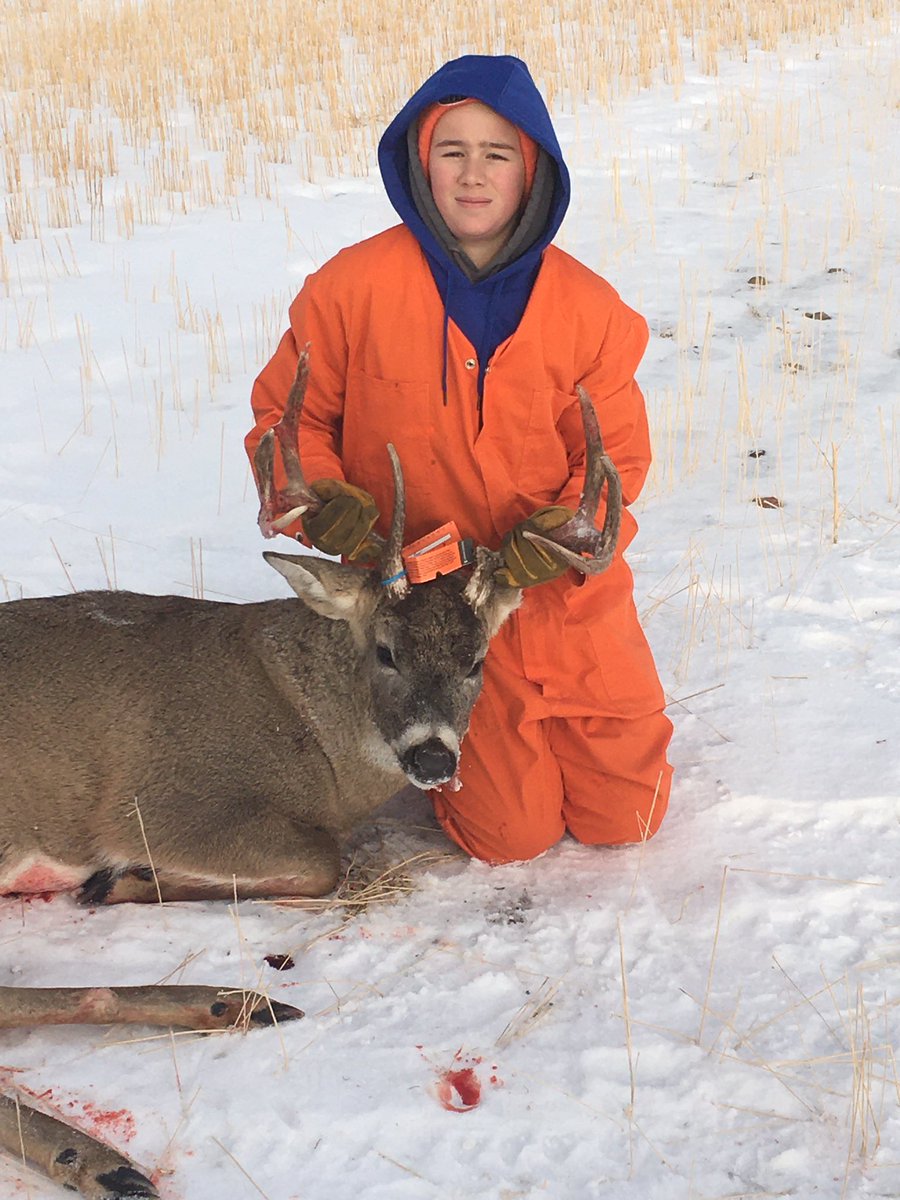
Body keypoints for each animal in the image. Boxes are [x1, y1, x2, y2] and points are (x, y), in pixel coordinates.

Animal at [0, 348, 622, 1198]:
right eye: (385, 651)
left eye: (476, 661)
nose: (433, 758)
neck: (312, 735)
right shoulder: (164, 804)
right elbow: (323, 863)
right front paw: (124, 878)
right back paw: (105, 1148)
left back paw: (225, 1012)